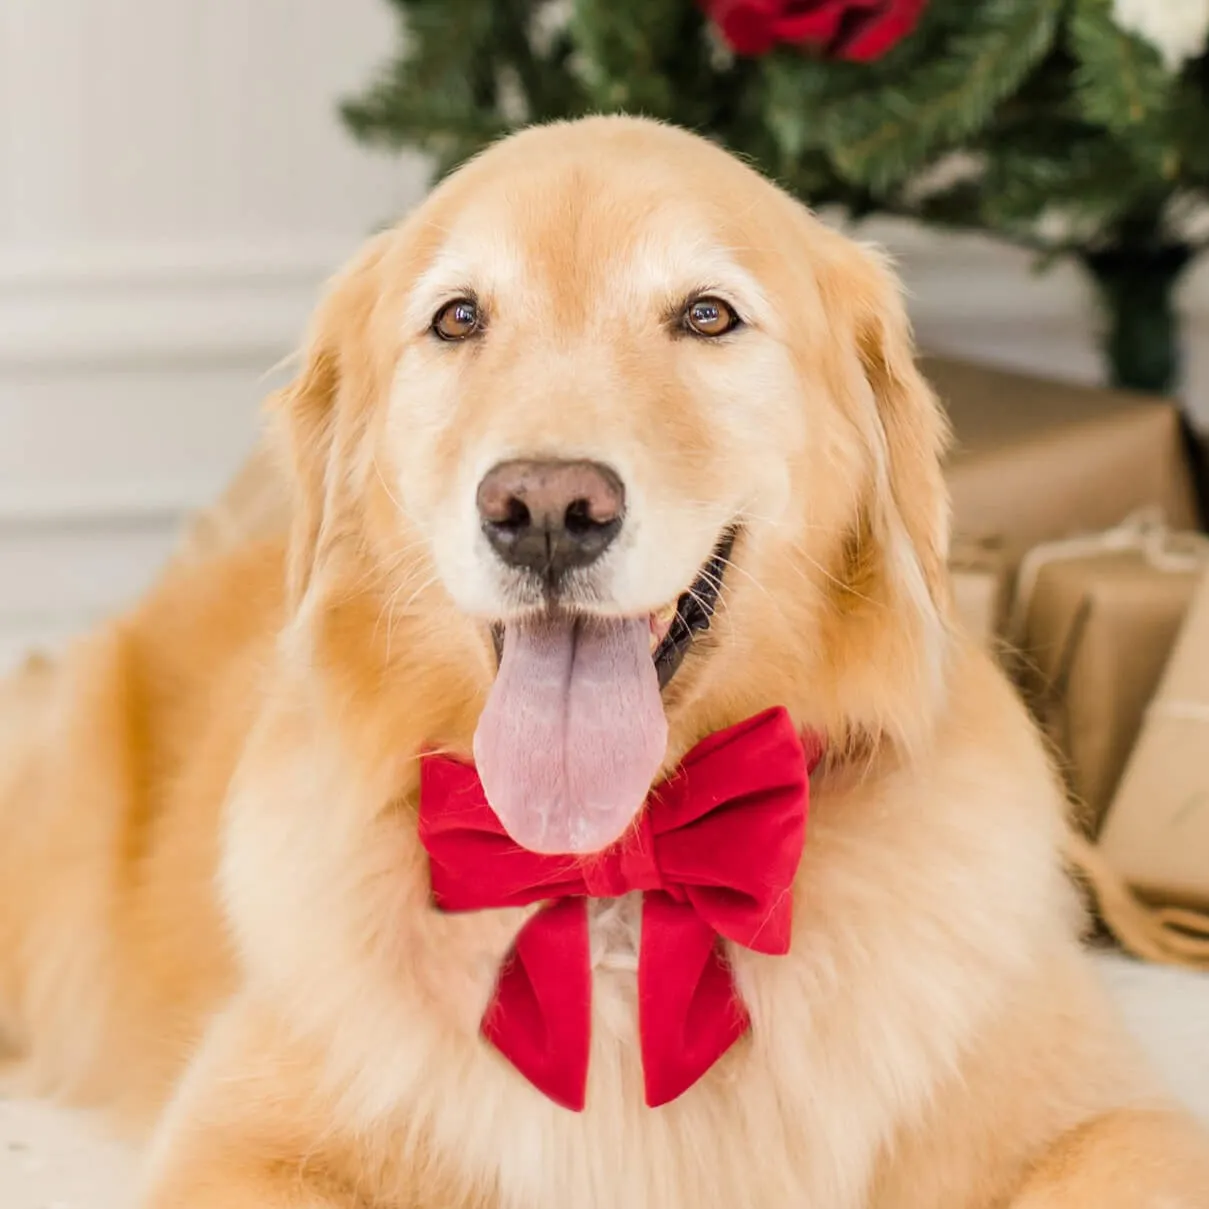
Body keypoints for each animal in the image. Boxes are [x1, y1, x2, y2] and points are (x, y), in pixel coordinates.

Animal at [2, 115, 1209, 1209]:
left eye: (707, 315)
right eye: (458, 317)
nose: (544, 509)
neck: (617, 873)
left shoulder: (1112, 1121)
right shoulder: (240, 1142)